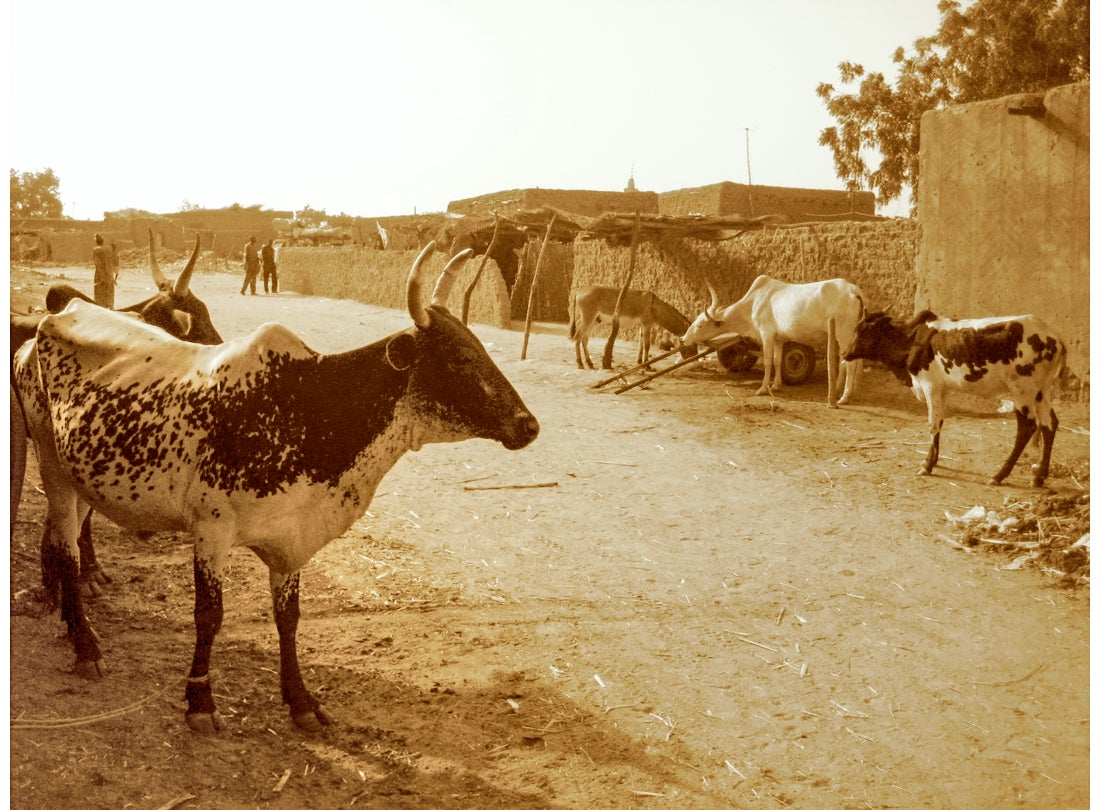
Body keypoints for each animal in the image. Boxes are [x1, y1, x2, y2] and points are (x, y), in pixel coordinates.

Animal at [12, 242, 540, 733]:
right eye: (457, 358)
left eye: (480, 346)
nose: (528, 425)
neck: (307, 404)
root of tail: (45, 324)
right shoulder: (212, 530)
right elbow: (210, 614)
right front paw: (200, 701)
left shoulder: (292, 540)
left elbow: (289, 618)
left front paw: (301, 700)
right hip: (53, 467)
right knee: (66, 549)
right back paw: (84, 646)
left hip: (84, 477)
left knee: (63, 540)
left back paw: (71, 622)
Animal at [569, 286, 697, 369]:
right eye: (693, 344)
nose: (695, 359)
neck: (654, 307)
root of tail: (579, 291)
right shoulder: (647, 324)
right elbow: (647, 345)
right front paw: (647, 366)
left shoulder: (642, 325)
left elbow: (640, 344)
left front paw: (640, 362)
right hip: (588, 318)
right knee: (578, 337)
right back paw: (580, 364)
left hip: (593, 320)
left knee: (584, 339)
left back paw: (589, 363)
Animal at [682, 275, 865, 407]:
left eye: (699, 325)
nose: (684, 339)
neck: (753, 302)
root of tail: (853, 288)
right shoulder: (779, 339)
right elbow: (777, 360)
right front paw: (776, 385)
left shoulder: (766, 334)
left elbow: (768, 362)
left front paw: (763, 388)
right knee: (851, 361)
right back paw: (847, 390)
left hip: (844, 334)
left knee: (850, 364)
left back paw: (843, 397)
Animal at [843, 310, 1066, 487]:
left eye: (860, 331)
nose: (845, 353)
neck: (913, 341)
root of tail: (1054, 337)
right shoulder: (942, 389)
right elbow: (940, 423)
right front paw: (933, 461)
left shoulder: (930, 386)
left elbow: (932, 425)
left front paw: (927, 466)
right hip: (1042, 391)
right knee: (1049, 424)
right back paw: (1039, 476)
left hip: (1022, 391)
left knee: (1027, 427)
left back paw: (999, 475)